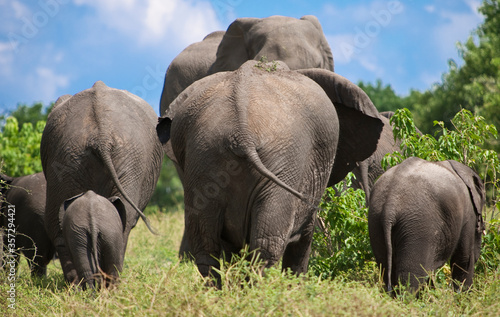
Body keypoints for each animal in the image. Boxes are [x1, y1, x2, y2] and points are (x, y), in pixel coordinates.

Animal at [40, 81, 163, 284]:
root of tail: (101, 136)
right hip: (118, 157)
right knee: (123, 218)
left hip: (72, 155)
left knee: (57, 219)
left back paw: (78, 284)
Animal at [158, 59, 384, 282]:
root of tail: (242, 132)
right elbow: (303, 238)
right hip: (284, 159)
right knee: (267, 245)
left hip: (204, 156)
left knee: (206, 247)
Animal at [368, 156, 484, 294]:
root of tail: (390, 203)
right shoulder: (468, 214)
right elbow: (464, 258)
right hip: (418, 225)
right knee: (412, 276)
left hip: (376, 220)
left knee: (386, 269)